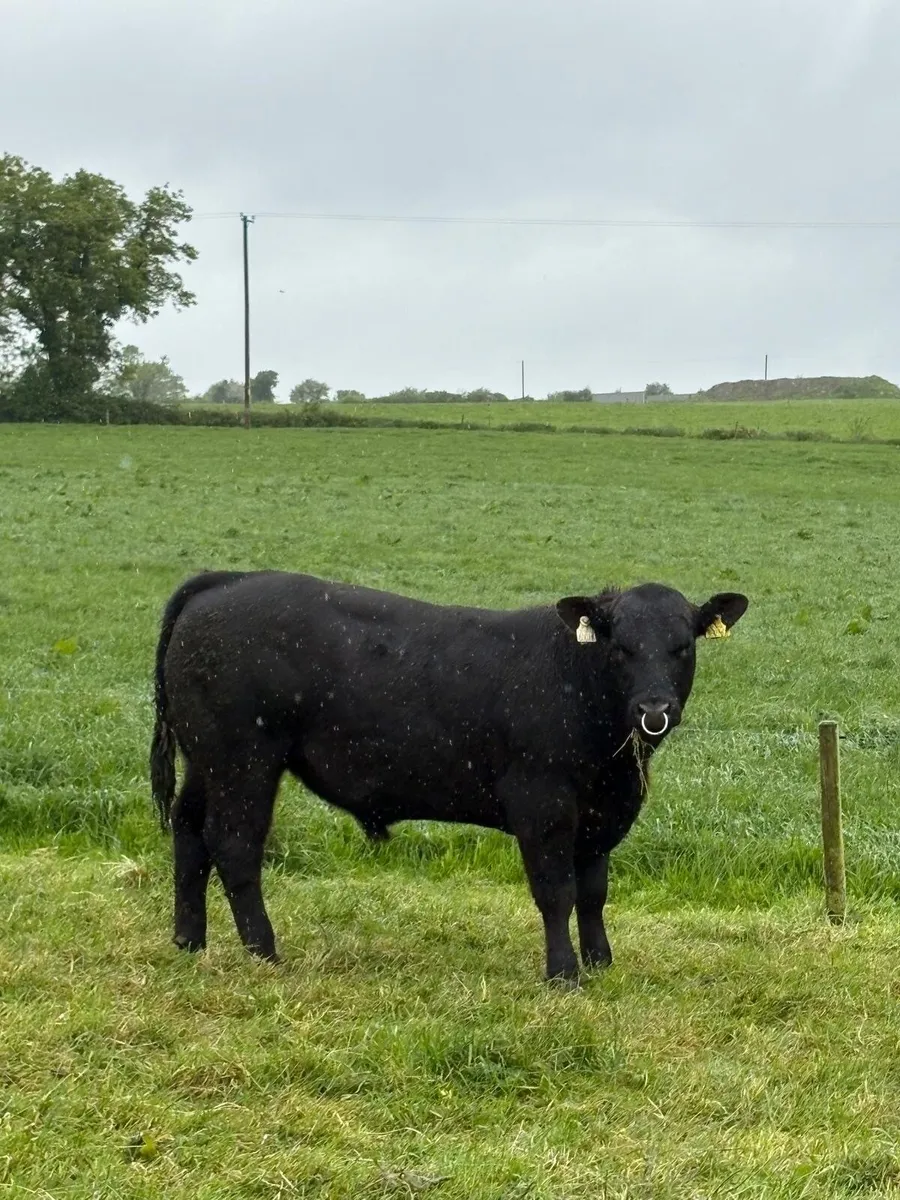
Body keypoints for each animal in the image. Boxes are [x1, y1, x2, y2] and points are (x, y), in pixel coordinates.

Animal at [150, 571, 748, 985]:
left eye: (683, 646)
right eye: (620, 647)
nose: (655, 708)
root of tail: (225, 580)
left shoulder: (602, 813)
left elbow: (594, 893)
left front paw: (600, 962)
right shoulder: (542, 803)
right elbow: (557, 891)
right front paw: (563, 974)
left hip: (204, 761)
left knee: (189, 832)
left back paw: (189, 940)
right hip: (243, 760)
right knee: (234, 845)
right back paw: (264, 952)